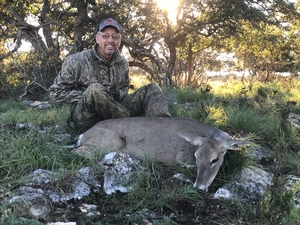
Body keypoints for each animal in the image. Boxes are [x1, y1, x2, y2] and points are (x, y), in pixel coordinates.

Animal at [71, 116, 246, 192]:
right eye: (196, 157)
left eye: (214, 160)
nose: (199, 187)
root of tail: (83, 134)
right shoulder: (180, 156)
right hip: (112, 142)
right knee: (75, 152)